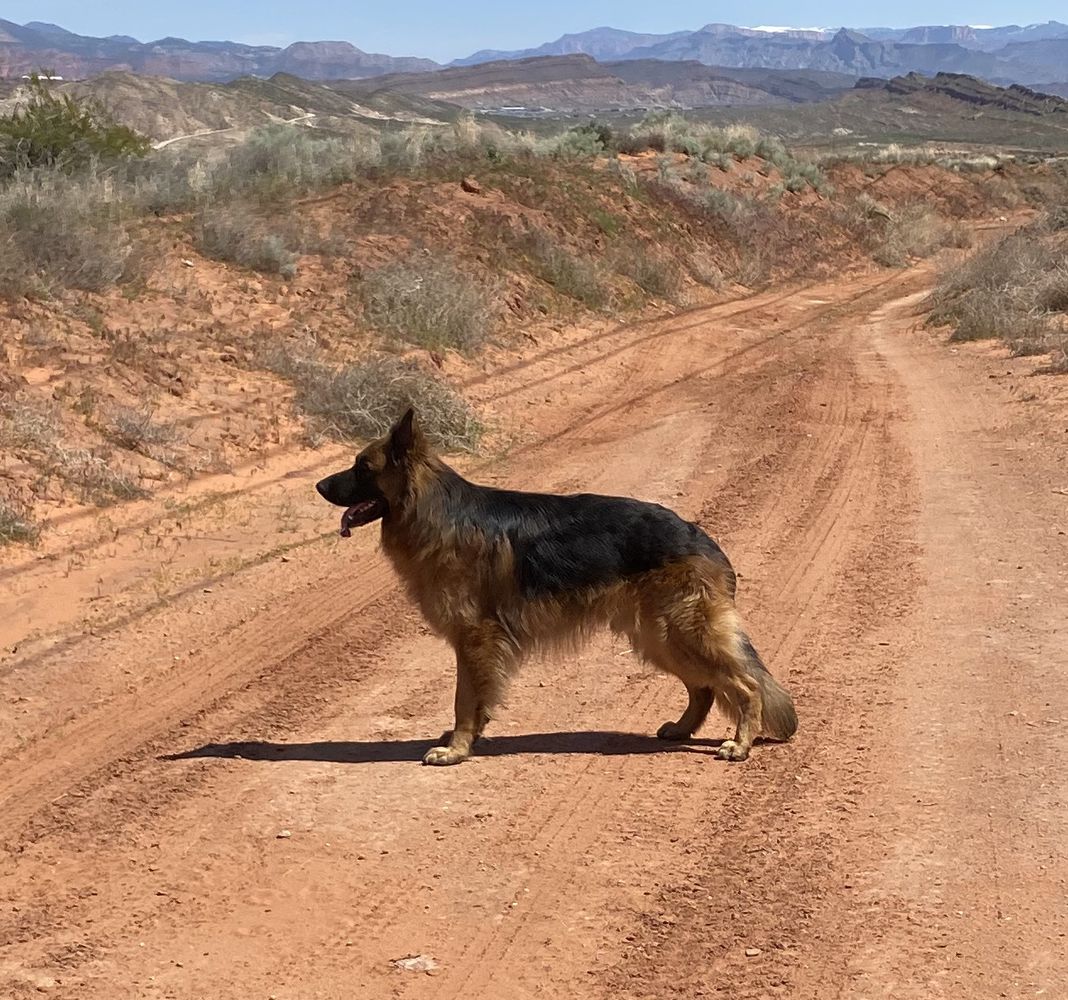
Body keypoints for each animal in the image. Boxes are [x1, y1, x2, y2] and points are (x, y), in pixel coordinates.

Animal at [311, 405, 798, 764]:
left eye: (362, 467)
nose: (318, 485)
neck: (432, 508)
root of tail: (701, 536)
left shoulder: (474, 638)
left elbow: (463, 700)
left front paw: (456, 749)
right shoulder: (478, 646)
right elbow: (475, 701)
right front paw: (468, 739)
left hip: (679, 632)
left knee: (745, 686)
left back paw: (740, 744)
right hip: (657, 636)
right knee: (704, 687)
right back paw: (681, 729)